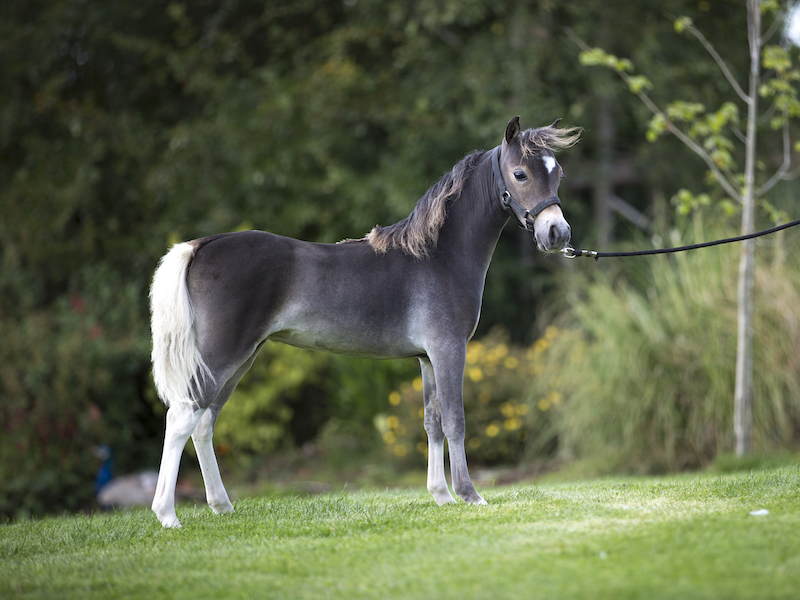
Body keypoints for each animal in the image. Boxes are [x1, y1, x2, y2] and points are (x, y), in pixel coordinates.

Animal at [149, 116, 580, 528]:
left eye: (558, 172)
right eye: (520, 174)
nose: (557, 233)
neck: (438, 254)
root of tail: (203, 245)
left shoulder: (427, 358)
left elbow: (433, 421)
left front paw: (441, 496)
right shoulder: (448, 349)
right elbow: (456, 420)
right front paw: (469, 495)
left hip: (242, 359)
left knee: (204, 423)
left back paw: (221, 506)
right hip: (222, 356)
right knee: (182, 418)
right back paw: (167, 515)